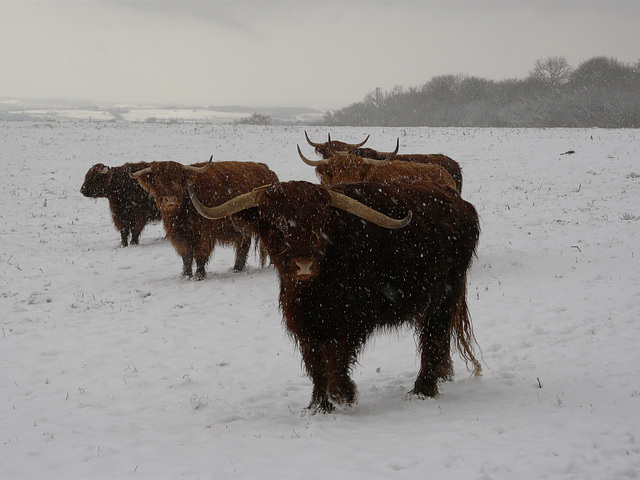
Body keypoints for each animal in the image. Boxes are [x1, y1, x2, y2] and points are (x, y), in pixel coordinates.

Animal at [132, 158, 278, 280]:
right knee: (243, 245)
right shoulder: (178, 236)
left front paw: (199, 275)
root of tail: (267, 170)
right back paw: (237, 268)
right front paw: (186, 275)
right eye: (157, 181)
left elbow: (200, 254)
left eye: (179, 180)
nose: (170, 199)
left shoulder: (205, 233)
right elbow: (186, 256)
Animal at [189, 178, 480, 410]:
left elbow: (337, 358)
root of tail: (458, 201)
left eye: (319, 223)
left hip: (445, 296)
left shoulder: (352, 321)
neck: (315, 289)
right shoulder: (303, 324)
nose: (304, 265)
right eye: (277, 226)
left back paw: (422, 389)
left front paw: (342, 394)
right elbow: (315, 364)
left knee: (433, 337)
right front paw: (319, 405)